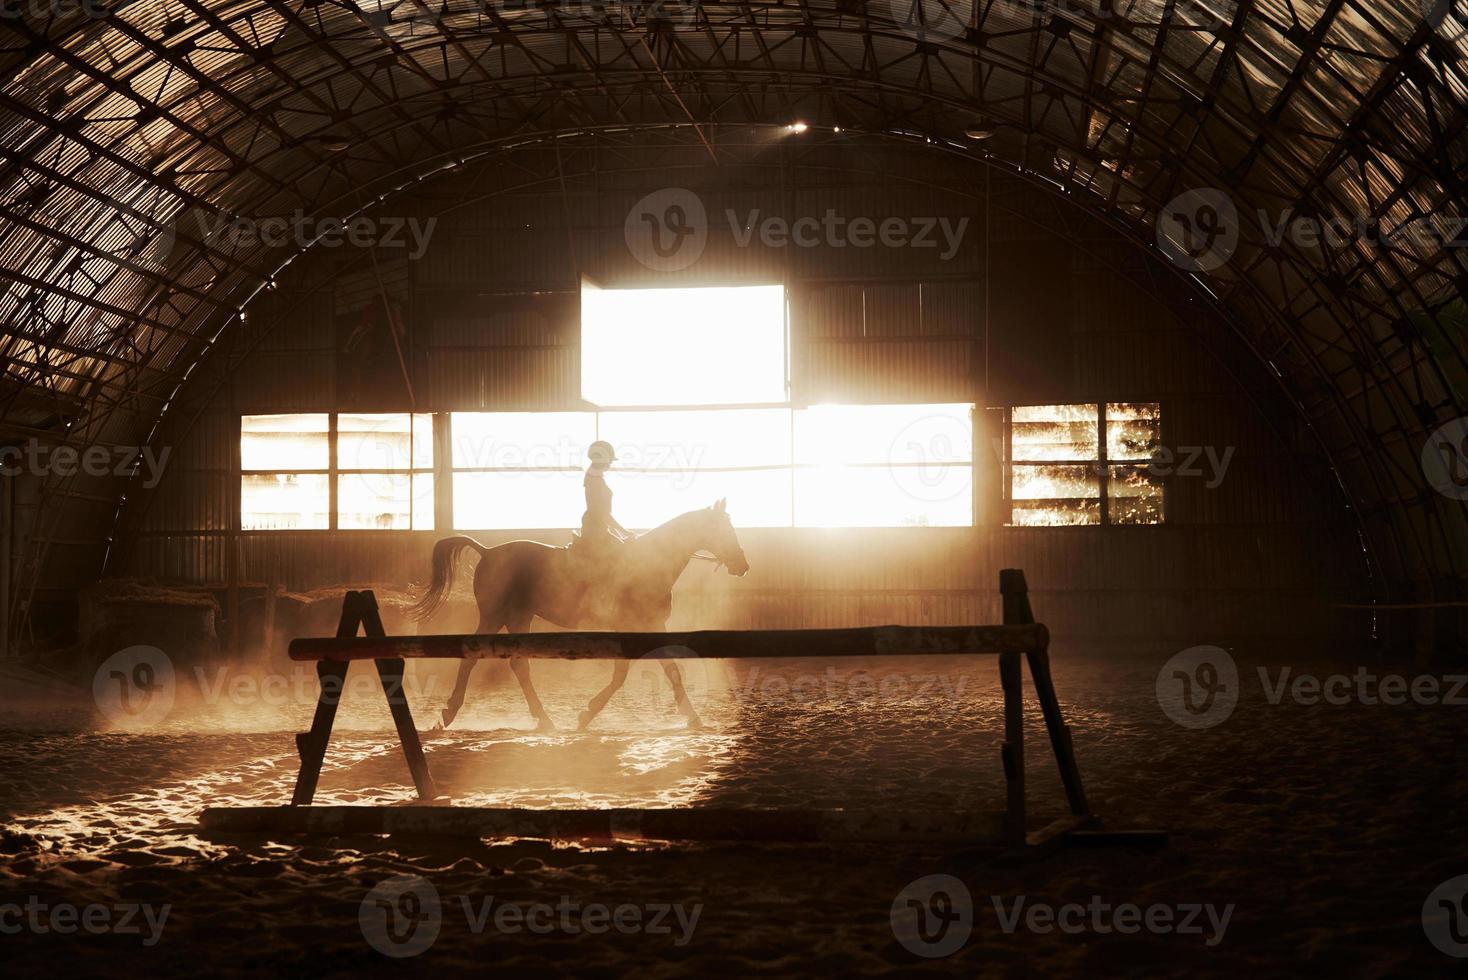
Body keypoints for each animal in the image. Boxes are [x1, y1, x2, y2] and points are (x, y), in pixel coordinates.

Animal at [411, 501, 745, 730]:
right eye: (724, 529)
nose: (743, 565)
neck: (648, 562)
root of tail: (488, 551)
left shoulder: (651, 625)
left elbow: (669, 669)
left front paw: (693, 717)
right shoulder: (633, 625)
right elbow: (625, 674)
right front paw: (587, 714)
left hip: (519, 617)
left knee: (519, 665)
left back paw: (543, 719)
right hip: (494, 616)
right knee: (472, 656)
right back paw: (449, 713)